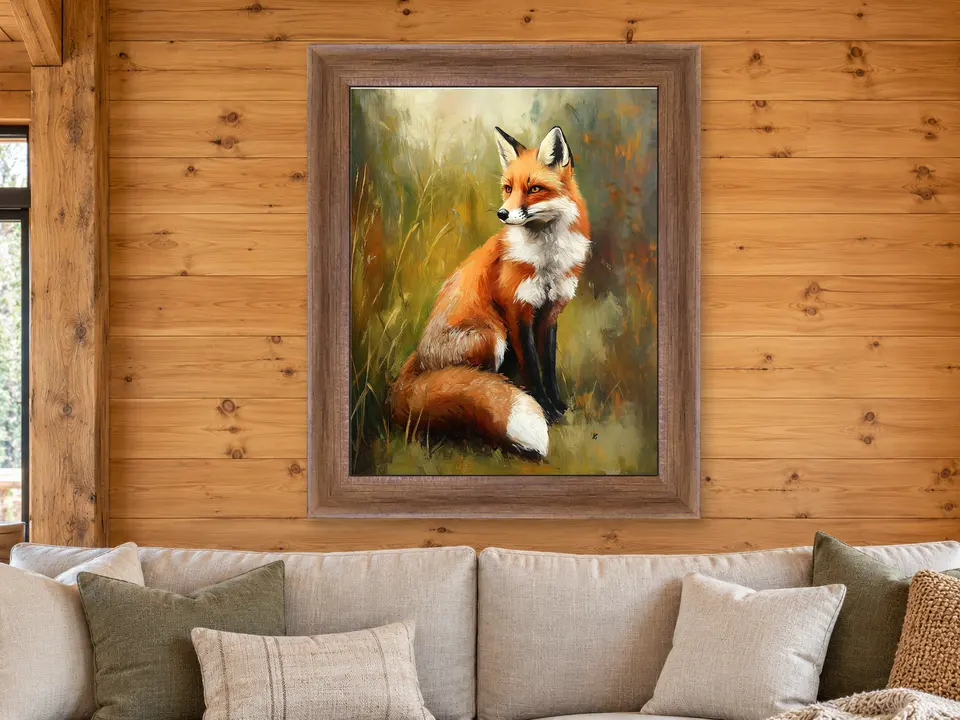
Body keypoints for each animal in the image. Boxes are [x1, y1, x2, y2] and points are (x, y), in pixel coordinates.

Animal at [388, 125, 591, 459]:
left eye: (534, 189)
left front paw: (558, 407)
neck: (546, 259)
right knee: (474, 382)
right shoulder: (516, 310)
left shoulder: (550, 312)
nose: (502, 213)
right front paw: (546, 411)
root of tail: (418, 359)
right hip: (490, 335)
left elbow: (547, 366)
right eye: (508, 188)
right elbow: (533, 367)